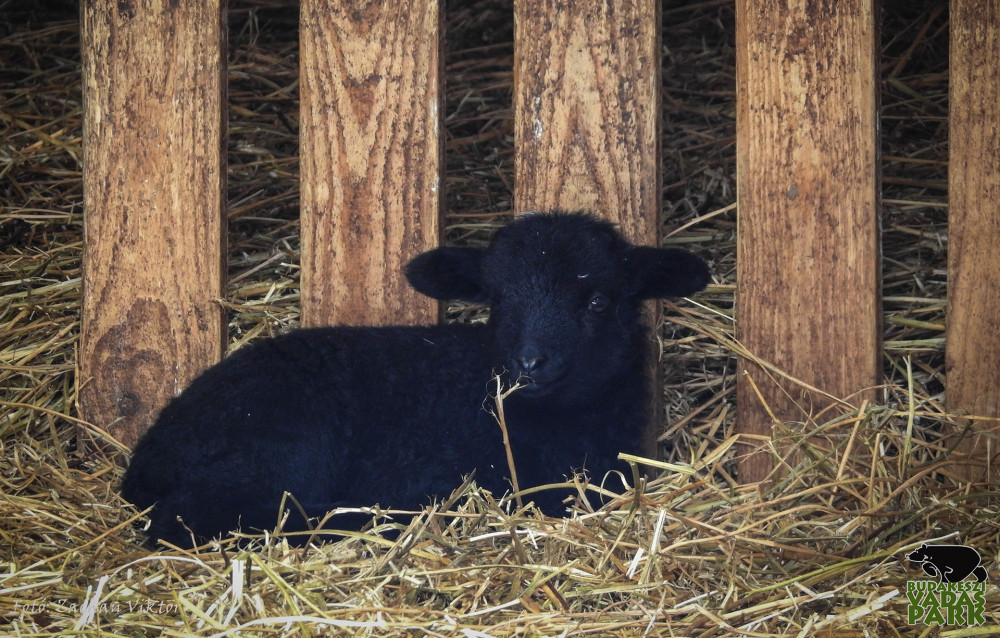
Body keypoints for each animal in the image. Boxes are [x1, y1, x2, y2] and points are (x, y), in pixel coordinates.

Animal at [119, 212, 712, 548]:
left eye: (597, 301)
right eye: (499, 300)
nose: (529, 363)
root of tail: (149, 454)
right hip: (280, 446)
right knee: (186, 519)